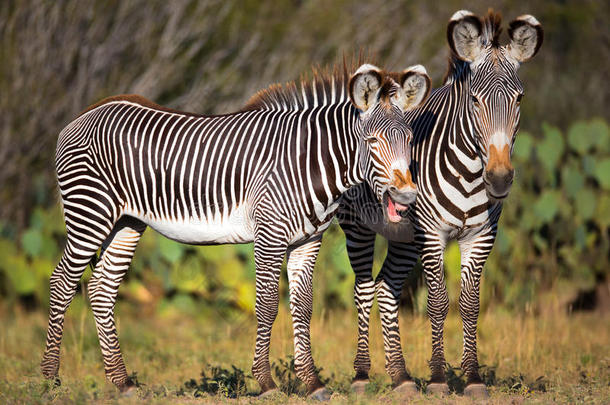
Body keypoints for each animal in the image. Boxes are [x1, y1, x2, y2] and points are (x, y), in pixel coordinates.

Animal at [40, 61, 430, 396]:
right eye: (372, 142)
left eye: (410, 139)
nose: (407, 195)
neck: (307, 162)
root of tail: (84, 115)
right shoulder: (269, 236)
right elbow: (267, 305)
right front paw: (267, 382)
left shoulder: (308, 241)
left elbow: (303, 307)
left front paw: (313, 383)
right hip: (90, 212)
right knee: (61, 283)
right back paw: (49, 380)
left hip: (125, 223)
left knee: (101, 290)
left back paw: (123, 383)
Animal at [338, 10, 540, 398]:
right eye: (475, 100)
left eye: (520, 99)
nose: (499, 179)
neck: (470, 173)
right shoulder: (432, 235)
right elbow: (437, 302)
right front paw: (437, 379)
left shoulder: (481, 236)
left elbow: (470, 304)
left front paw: (473, 378)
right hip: (358, 228)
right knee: (364, 290)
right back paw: (362, 376)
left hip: (404, 237)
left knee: (387, 289)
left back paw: (399, 377)